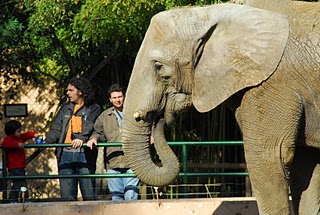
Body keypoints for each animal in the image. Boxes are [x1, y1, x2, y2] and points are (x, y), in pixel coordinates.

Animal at [120, 0, 320, 214]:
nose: (161, 116)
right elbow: (305, 166)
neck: (211, 14)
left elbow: (270, 157)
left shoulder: (270, 85)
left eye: (158, 68)